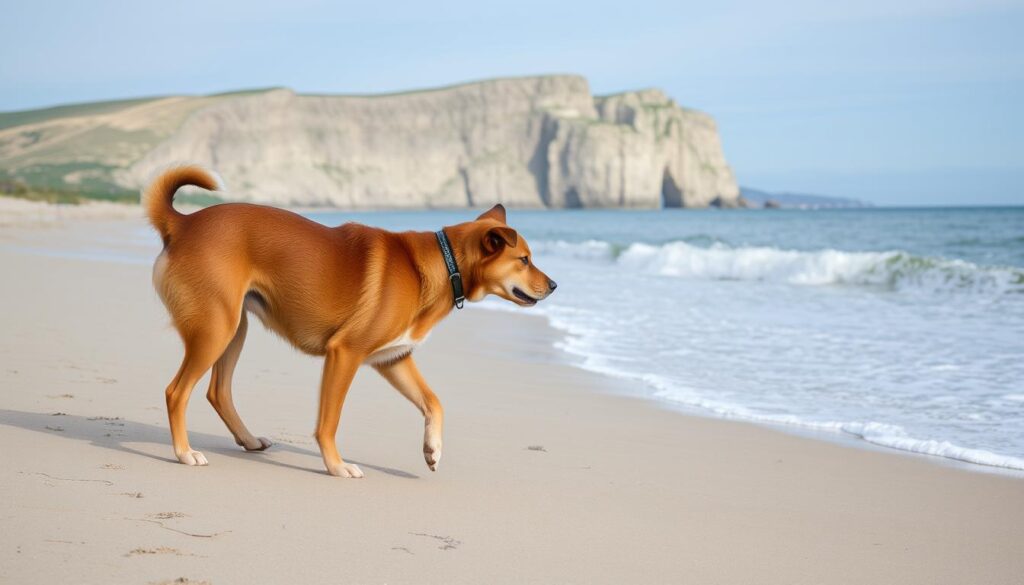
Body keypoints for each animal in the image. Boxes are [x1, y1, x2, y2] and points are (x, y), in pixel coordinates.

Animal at [144, 166, 557, 477]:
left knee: (218, 391)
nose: (554, 285)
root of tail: (182, 224)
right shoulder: (344, 354)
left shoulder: (394, 359)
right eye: (524, 260)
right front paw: (336, 466)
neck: (445, 263)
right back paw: (184, 453)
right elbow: (329, 421)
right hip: (216, 328)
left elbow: (434, 402)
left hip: (234, 328)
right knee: (176, 392)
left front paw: (432, 449)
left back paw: (247, 441)